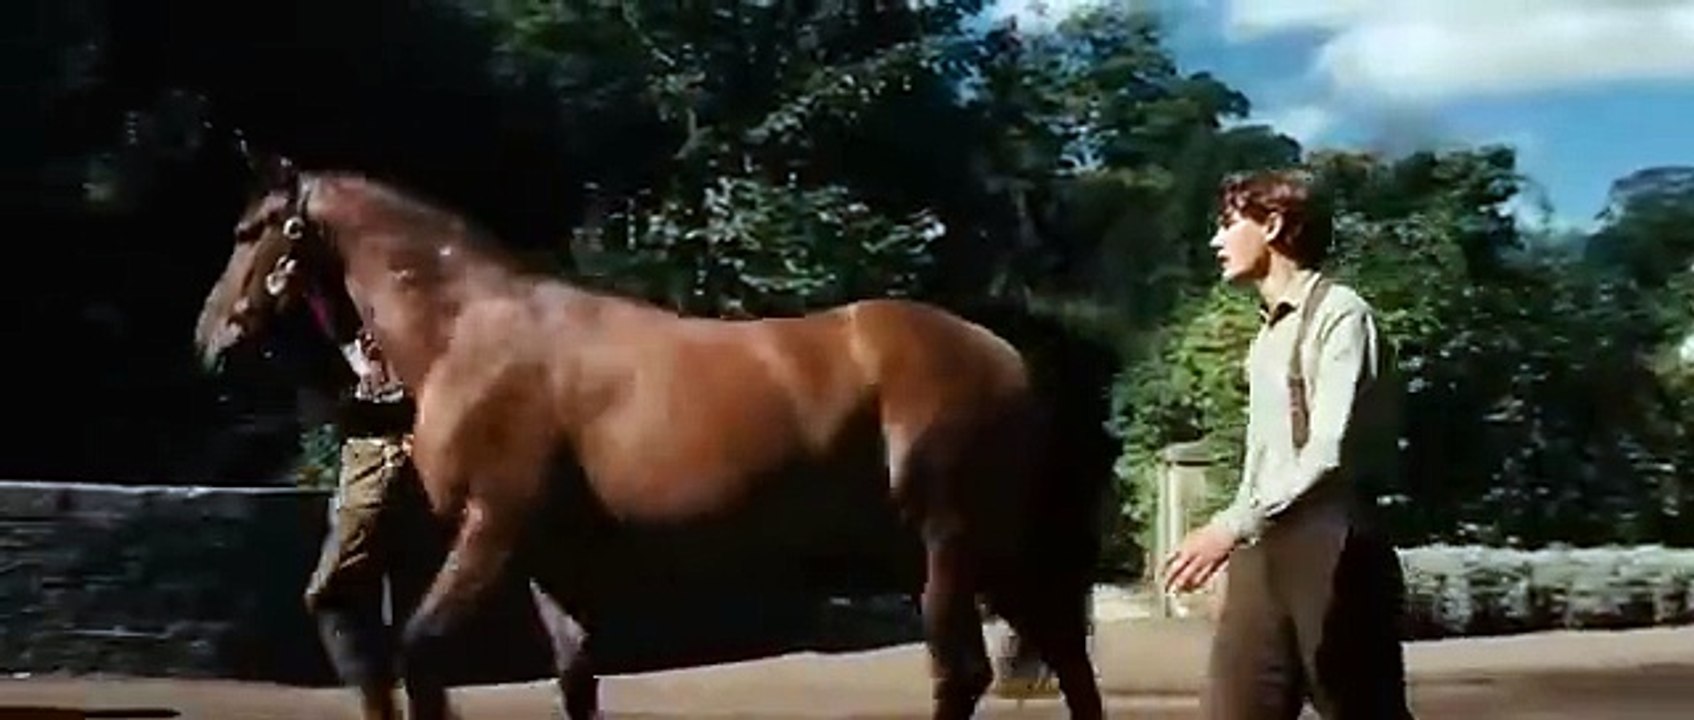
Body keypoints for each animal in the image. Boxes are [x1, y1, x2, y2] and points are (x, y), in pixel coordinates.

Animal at [191, 151, 1107, 720]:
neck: (469, 331)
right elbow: (575, 677)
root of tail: (1006, 356)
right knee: (1066, 657)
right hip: (998, 551)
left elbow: (421, 655)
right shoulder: (550, 558)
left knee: (963, 673)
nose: (208, 339)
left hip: (949, 542)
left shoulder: (493, 531)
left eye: (249, 232)